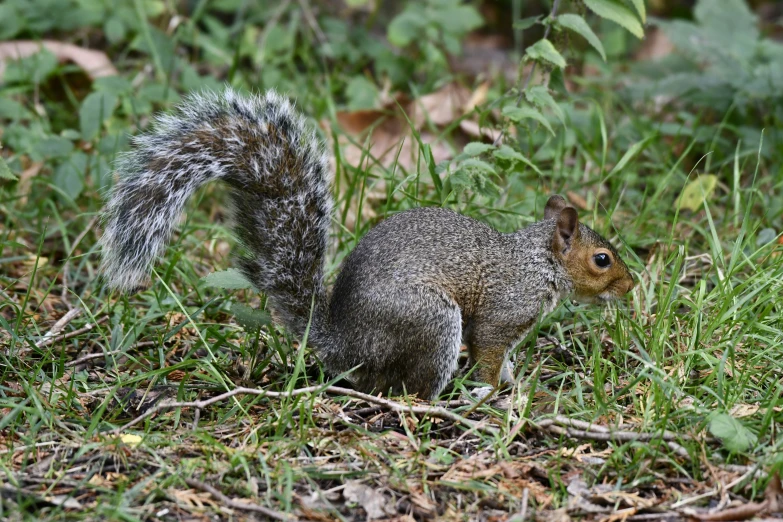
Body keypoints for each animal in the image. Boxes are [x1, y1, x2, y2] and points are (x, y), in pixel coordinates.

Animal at [99, 88, 636, 398]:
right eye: (602, 260)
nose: (631, 286)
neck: (538, 262)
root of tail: (345, 344)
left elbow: (501, 361)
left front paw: (514, 383)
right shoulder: (503, 313)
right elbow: (487, 351)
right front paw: (491, 394)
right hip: (430, 321)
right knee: (407, 389)